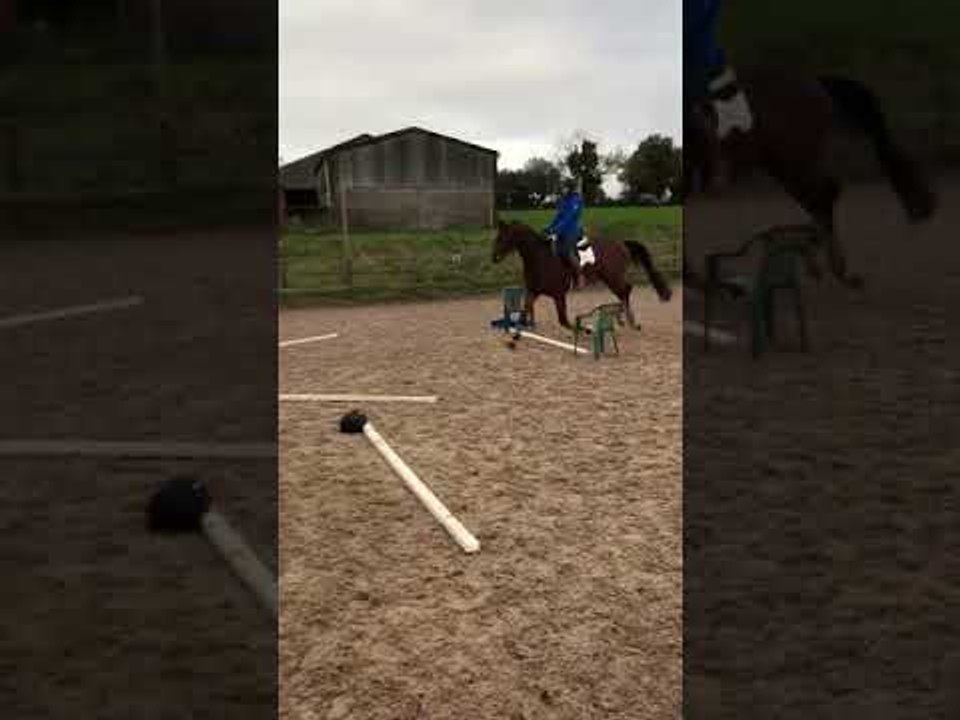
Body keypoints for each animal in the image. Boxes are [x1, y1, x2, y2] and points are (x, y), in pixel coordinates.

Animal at [490, 219, 672, 330]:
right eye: (497, 237)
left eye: (503, 238)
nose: (494, 258)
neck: (540, 258)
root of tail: (621, 243)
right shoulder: (534, 291)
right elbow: (524, 312)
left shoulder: (558, 295)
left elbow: (564, 321)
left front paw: (583, 330)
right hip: (611, 278)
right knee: (624, 292)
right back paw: (625, 320)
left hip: (613, 277)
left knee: (626, 290)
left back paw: (629, 321)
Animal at [683, 69, 938, 290]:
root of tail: (815, 81)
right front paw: (694, 278)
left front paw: (694, 279)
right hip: (783, 163)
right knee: (819, 197)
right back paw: (817, 257)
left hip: (794, 158)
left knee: (825, 193)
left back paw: (831, 264)